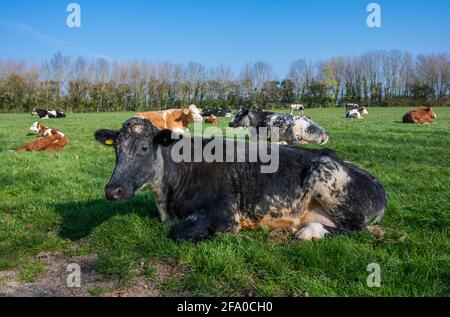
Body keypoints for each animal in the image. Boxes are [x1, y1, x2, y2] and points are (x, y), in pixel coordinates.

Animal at [94, 118, 386, 242]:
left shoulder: (225, 214)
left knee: (360, 231)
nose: (112, 190)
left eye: (144, 148)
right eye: (116, 149)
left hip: (325, 174)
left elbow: (179, 233)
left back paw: (309, 232)